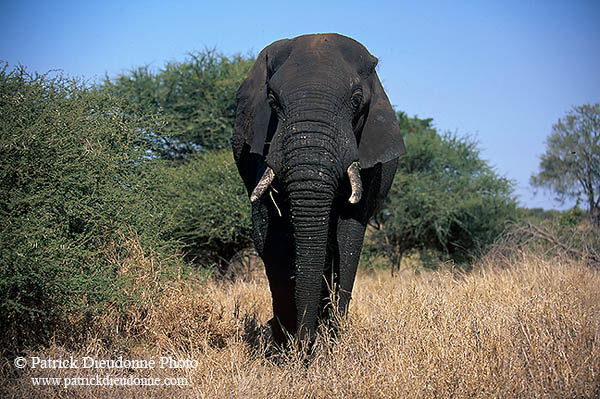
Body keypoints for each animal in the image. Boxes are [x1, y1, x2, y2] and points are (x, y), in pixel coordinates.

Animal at [232, 33, 406, 346]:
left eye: (356, 100)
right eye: (272, 101)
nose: (306, 342)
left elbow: (349, 233)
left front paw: (330, 340)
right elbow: (272, 232)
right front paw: (288, 343)